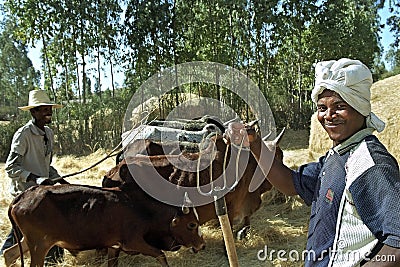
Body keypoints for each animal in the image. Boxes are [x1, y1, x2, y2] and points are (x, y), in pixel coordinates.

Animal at [6, 183, 205, 267]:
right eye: (192, 225)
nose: (202, 245)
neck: (139, 208)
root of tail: (22, 197)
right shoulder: (132, 242)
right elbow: (161, 255)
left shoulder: (113, 247)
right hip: (40, 245)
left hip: (31, 242)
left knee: (9, 254)